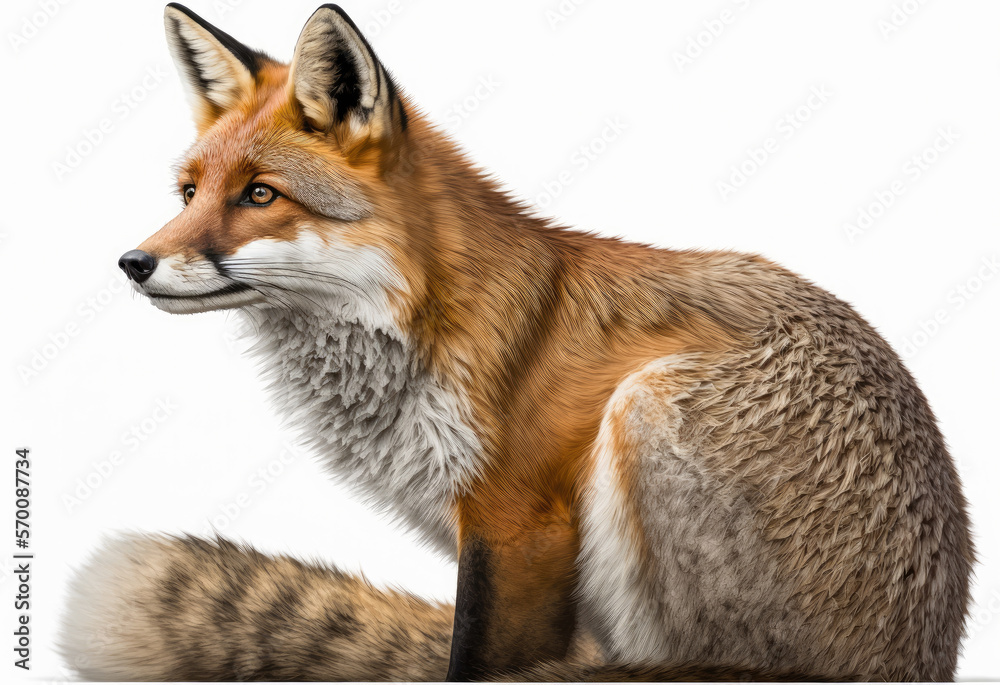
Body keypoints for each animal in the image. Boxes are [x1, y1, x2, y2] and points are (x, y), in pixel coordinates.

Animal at [61, 3, 973, 681]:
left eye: (259, 194)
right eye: (188, 192)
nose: (134, 263)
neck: (422, 321)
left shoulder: (521, 524)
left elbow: (476, 661)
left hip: (644, 412)